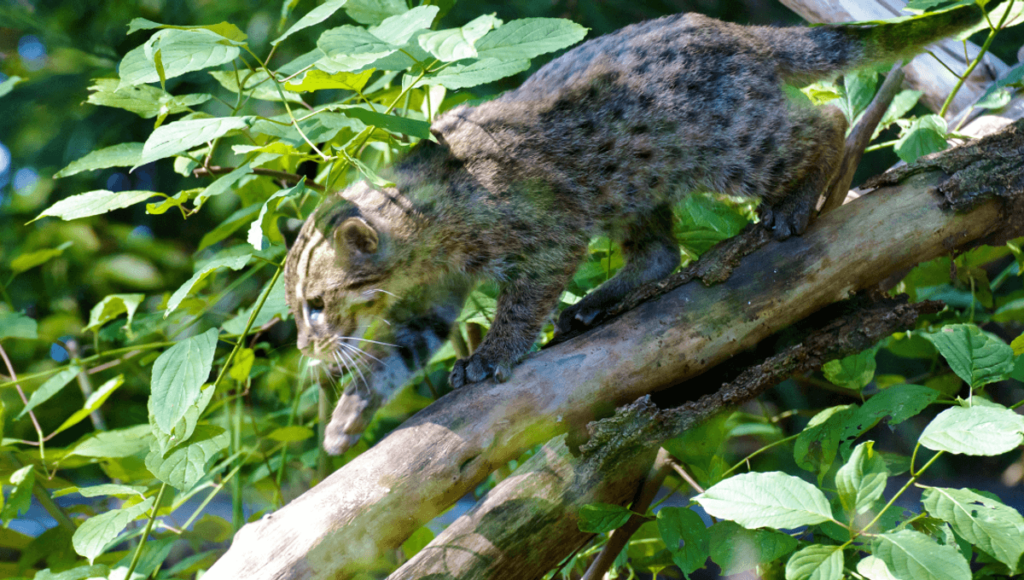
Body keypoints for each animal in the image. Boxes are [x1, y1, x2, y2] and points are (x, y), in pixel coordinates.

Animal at [284, 5, 987, 459]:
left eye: (317, 305)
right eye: (297, 310)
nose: (303, 348)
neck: (424, 233)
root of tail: (735, 31)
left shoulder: (548, 237)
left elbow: (519, 306)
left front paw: (492, 354)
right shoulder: (432, 298)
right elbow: (398, 351)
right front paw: (348, 416)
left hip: (726, 146)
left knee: (828, 116)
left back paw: (797, 199)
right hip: (632, 181)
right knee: (659, 250)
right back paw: (599, 301)